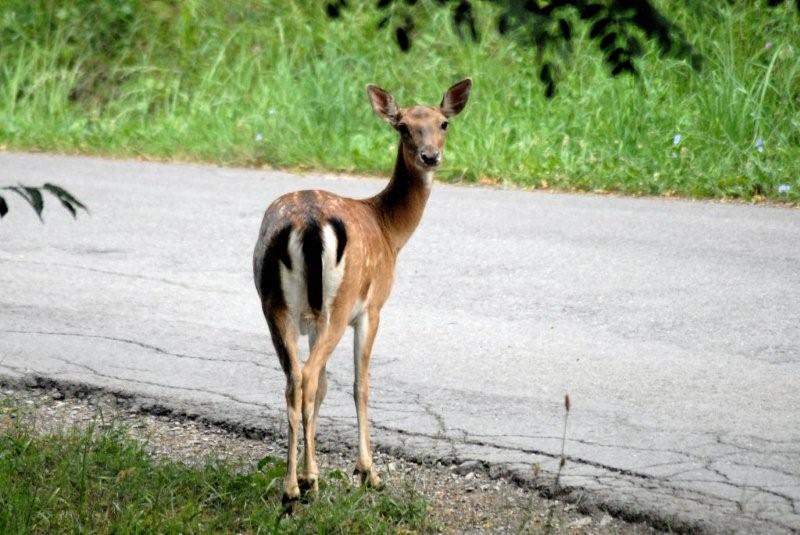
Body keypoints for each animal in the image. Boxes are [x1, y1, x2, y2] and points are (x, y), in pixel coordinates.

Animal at [253, 77, 472, 504]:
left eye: (443, 123)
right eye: (403, 126)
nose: (430, 156)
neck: (389, 231)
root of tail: (308, 223)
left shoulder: (310, 320)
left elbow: (324, 389)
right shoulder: (372, 308)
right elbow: (360, 385)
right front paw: (368, 471)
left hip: (275, 306)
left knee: (295, 381)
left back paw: (290, 487)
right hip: (338, 305)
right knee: (308, 376)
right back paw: (308, 482)